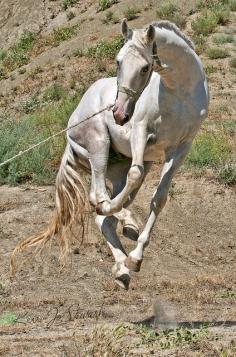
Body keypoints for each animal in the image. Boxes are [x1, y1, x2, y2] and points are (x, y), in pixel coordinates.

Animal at [12, 19, 208, 288]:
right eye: (118, 61)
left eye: (145, 67)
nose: (119, 114)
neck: (179, 92)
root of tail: (72, 123)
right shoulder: (141, 131)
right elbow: (134, 176)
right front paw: (132, 251)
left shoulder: (180, 149)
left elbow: (159, 199)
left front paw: (136, 257)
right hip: (99, 145)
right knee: (99, 200)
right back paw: (115, 223)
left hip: (119, 166)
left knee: (109, 216)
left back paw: (123, 260)